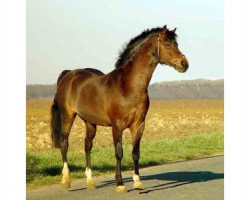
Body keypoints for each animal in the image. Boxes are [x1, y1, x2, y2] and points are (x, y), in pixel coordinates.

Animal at [50, 25, 188, 192]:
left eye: (176, 44)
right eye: (167, 44)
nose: (184, 64)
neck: (128, 86)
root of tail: (69, 74)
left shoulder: (139, 125)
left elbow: (136, 153)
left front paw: (138, 182)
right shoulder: (117, 126)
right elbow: (119, 152)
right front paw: (120, 184)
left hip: (90, 122)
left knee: (87, 146)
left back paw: (90, 181)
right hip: (68, 115)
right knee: (64, 143)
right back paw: (66, 180)